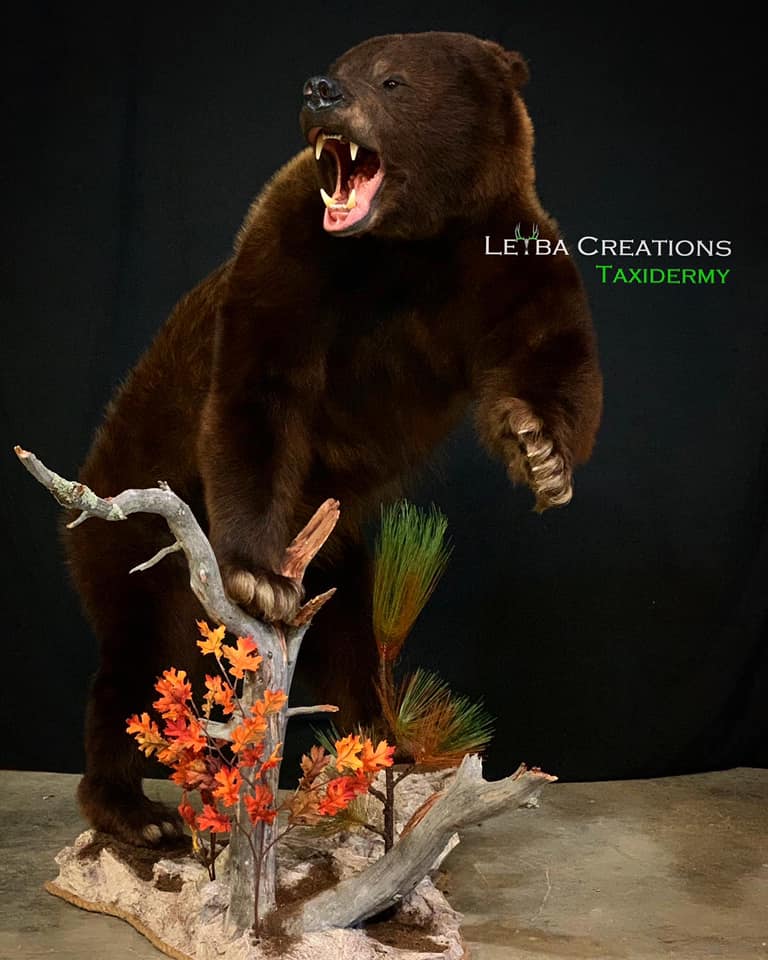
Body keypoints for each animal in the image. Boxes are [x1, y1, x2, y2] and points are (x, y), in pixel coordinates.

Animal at [64, 30, 603, 846]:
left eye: (391, 78)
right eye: (344, 64)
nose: (321, 89)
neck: (409, 245)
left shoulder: (497, 260)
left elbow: (552, 348)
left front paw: (541, 453)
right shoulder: (293, 251)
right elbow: (259, 390)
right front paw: (258, 574)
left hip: (342, 560)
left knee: (350, 644)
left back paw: (386, 742)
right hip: (136, 532)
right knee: (140, 658)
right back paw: (135, 811)